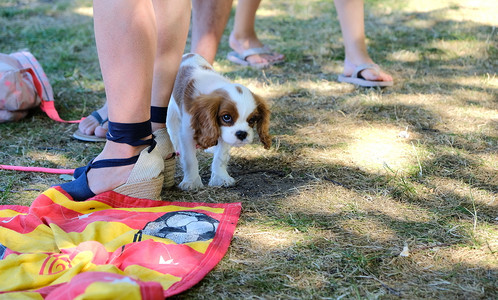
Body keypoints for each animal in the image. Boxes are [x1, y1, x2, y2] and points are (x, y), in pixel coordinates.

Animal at [165, 53, 270, 190]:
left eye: (252, 119)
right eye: (226, 117)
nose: (242, 134)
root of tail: (189, 54)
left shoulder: (224, 135)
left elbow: (221, 157)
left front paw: (221, 178)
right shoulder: (187, 133)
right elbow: (189, 159)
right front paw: (191, 182)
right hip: (171, 113)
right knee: (173, 133)